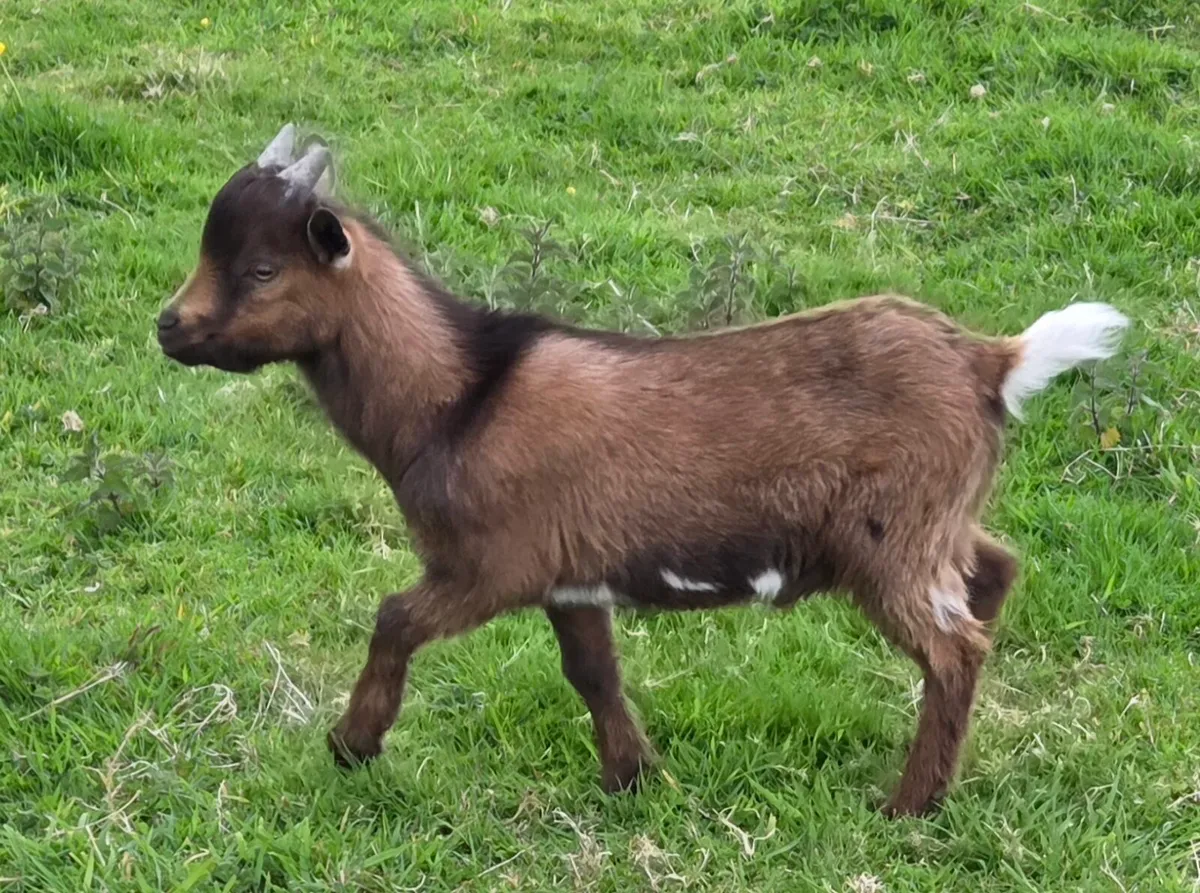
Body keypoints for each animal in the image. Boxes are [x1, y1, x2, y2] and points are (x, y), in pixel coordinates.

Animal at [157, 125, 1129, 816]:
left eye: (261, 268)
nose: (169, 326)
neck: (460, 395)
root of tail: (991, 362)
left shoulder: (493, 563)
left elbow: (393, 616)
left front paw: (351, 745)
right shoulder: (570, 575)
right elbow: (593, 669)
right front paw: (632, 776)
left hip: (891, 537)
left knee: (954, 644)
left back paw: (909, 805)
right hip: (940, 520)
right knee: (994, 571)